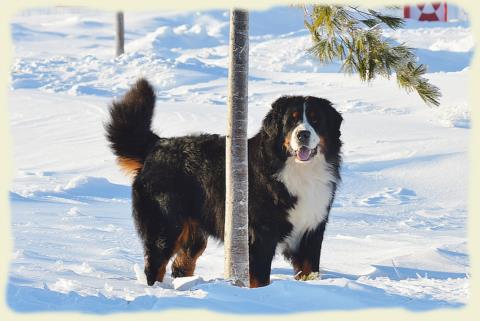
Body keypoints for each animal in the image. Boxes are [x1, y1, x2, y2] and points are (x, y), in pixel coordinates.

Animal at [107, 78, 344, 288]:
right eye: (291, 121)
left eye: (315, 120)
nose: (303, 134)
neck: (298, 171)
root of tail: (156, 144)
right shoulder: (259, 235)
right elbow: (260, 278)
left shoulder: (311, 230)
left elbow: (310, 271)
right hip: (165, 225)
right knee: (155, 265)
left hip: (193, 231)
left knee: (181, 264)